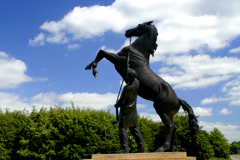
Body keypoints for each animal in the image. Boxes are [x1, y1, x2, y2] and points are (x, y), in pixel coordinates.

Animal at [85, 21, 199, 152]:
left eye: (139, 25)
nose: (127, 32)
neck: (138, 51)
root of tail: (178, 99)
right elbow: (101, 53)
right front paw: (89, 66)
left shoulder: (118, 59)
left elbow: (102, 52)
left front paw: (94, 70)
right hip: (170, 114)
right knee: (174, 127)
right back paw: (170, 149)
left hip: (161, 110)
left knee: (170, 127)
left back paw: (161, 148)